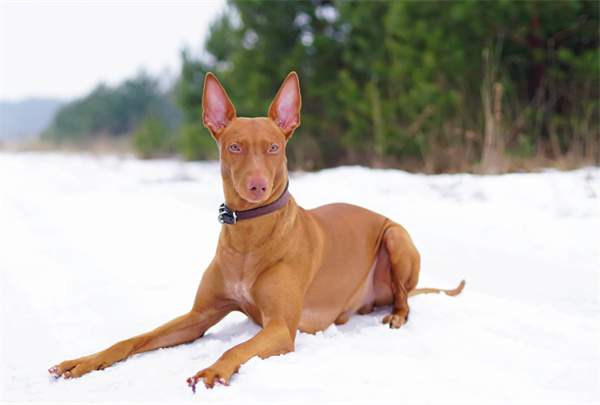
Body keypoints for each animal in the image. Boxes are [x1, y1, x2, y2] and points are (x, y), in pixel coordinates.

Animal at [49, 71, 466, 390]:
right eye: (234, 147)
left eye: (273, 148)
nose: (257, 187)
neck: (249, 235)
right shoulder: (198, 316)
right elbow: (135, 338)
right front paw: (85, 360)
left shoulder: (281, 328)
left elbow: (234, 348)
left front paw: (214, 369)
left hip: (395, 237)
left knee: (405, 298)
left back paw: (396, 315)